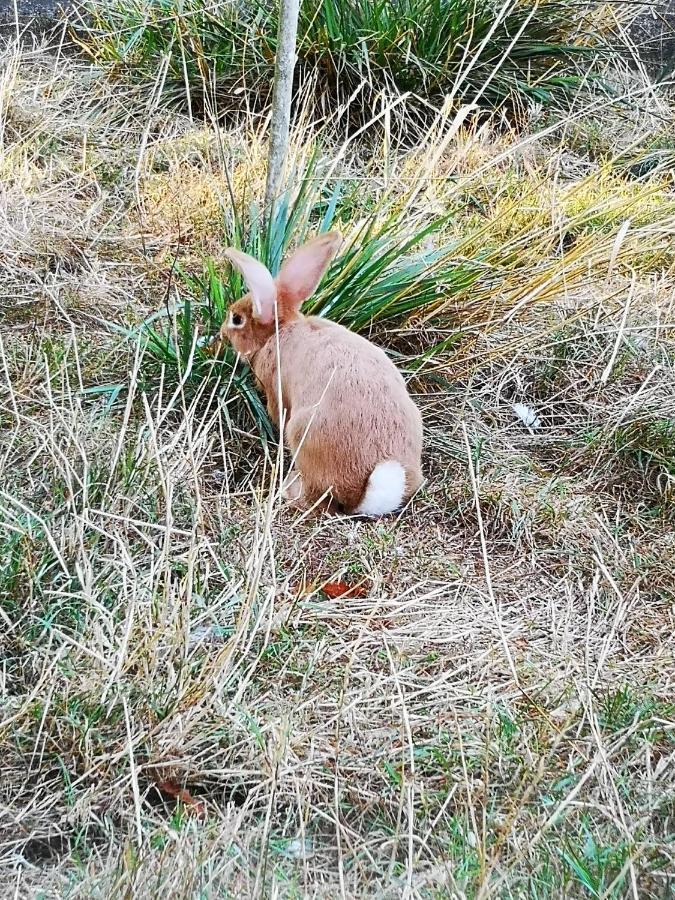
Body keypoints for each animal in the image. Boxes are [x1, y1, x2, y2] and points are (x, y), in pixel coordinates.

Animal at [217, 229, 422, 516]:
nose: (222, 333)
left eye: (236, 319)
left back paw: (289, 489)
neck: (280, 331)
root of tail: (364, 494)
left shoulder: (276, 393)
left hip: (299, 433)